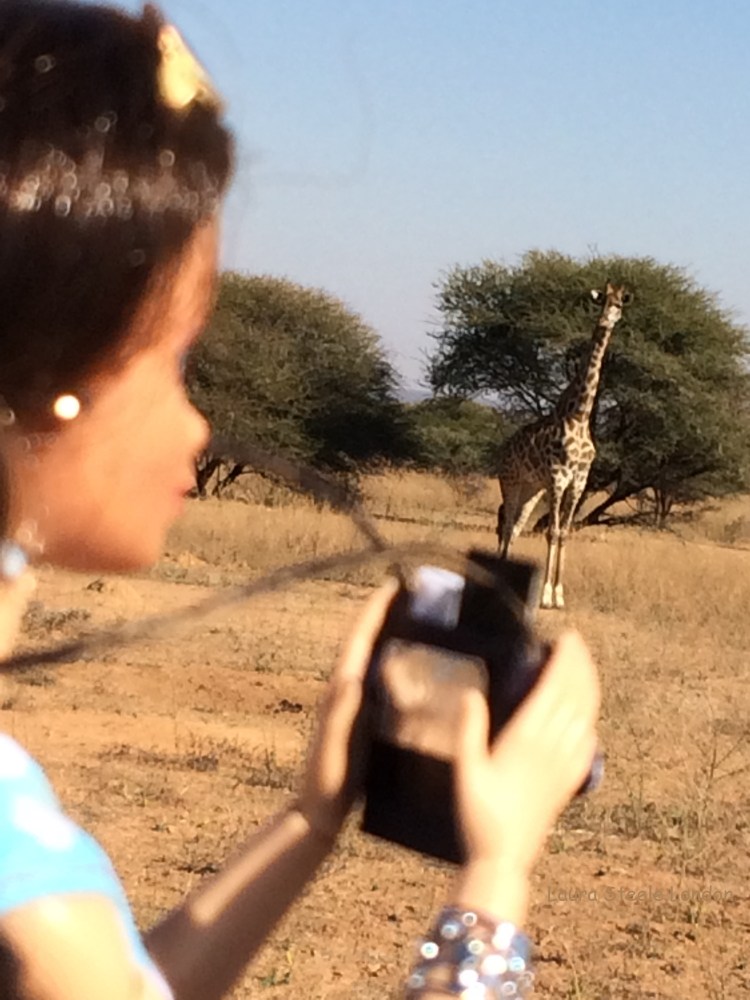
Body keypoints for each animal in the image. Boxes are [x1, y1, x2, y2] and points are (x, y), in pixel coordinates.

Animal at [496, 281, 631, 609]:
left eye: (620, 304)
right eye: (601, 302)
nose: (606, 321)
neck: (580, 416)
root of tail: (503, 449)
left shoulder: (578, 481)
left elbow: (565, 532)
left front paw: (559, 595)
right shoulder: (558, 478)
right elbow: (552, 531)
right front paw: (546, 595)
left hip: (532, 489)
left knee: (515, 526)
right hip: (511, 481)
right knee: (506, 524)